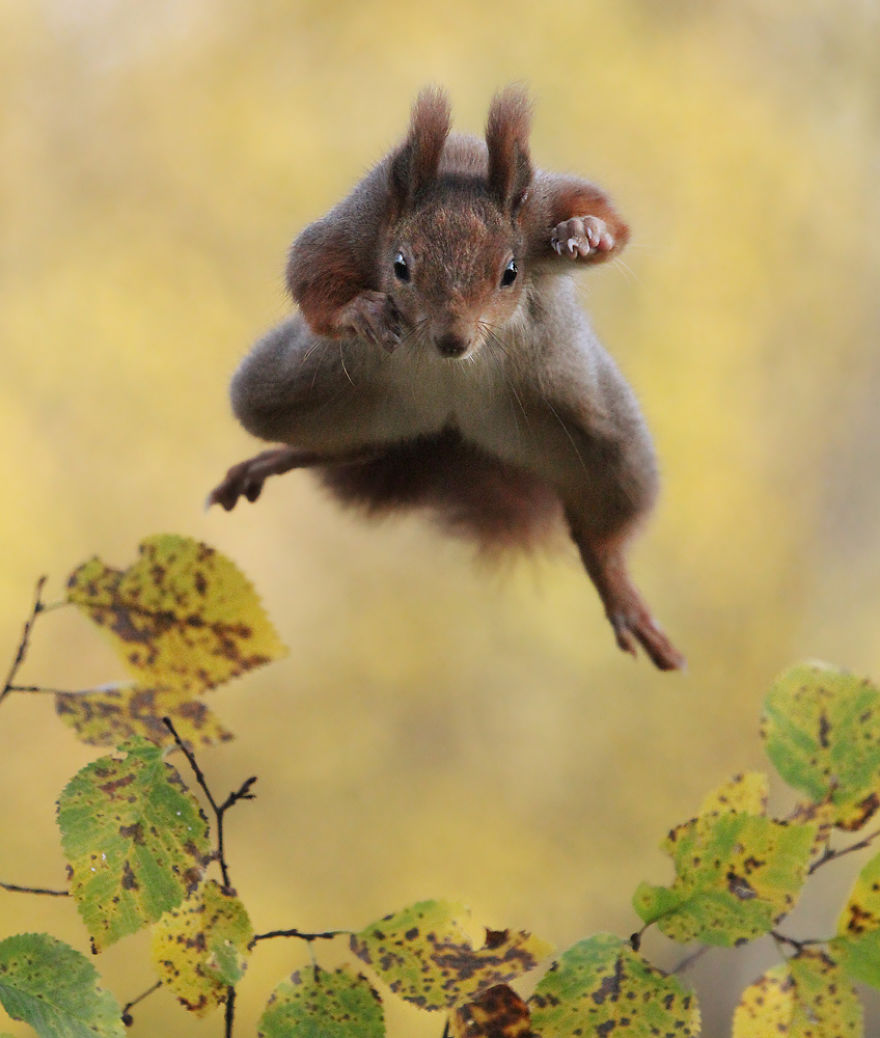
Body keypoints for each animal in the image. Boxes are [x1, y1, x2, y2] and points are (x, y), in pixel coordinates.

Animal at [209, 89, 684, 672]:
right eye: (399, 266)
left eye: (511, 272)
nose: (452, 342)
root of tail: (451, 427)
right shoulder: (360, 221)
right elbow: (310, 267)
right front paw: (359, 311)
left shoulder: (541, 206)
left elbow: (602, 214)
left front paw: (584, 232)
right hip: (290, 393)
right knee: (351, 446)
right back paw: (277, 459)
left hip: (599, 436)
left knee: (601, 528)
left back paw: (616, 585)